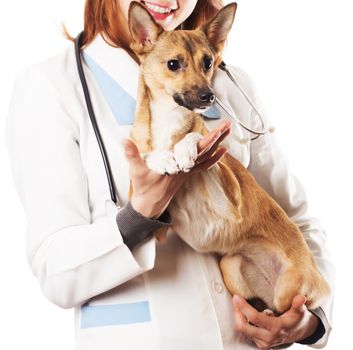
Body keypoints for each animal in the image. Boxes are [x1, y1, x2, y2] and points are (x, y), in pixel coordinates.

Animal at [127, 1, 330, 314]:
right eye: (173, 64)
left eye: (208, 62)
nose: (208, 96)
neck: (169, 121)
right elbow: (148, 155)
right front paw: (160, 158)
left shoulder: (231, 201)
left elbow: (197, 139)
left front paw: (186, 148)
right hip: (231, 265)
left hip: (289, 287)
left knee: (292, 308)